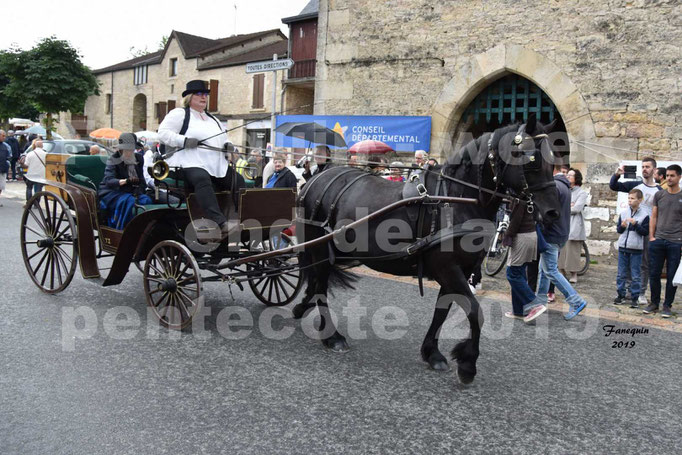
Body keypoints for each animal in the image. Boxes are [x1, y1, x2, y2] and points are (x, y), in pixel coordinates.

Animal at [290, 116, 556, 386]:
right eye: (532, 159)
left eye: (553, 159)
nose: (552, 212)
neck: (456, 200)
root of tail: (316, 179)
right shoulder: (447, 268)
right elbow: (474, 311)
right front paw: (468, 364)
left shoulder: (459, 271)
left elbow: (441, 312)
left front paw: (432, 353)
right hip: (320, 248)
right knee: (321, 287)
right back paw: (331, 336)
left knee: (316, 282)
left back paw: (302, 308)